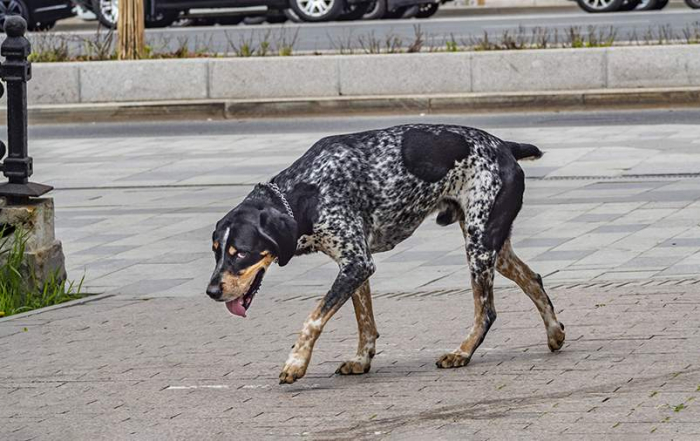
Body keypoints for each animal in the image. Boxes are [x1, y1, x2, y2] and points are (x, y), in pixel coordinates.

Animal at [205, 123, 568, 382]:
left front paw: (296, 362)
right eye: (216, 251)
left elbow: (313, 319)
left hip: (479, 245)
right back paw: (554, 333)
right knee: (533, 279)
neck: (306, 191)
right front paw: (362, 359)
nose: (211, 291)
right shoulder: (355, 266)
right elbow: (365, 321)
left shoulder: (356, 264)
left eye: (241, 253)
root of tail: (505, 145)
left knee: (487, 311)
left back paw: (462, 353)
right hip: (493, 247)